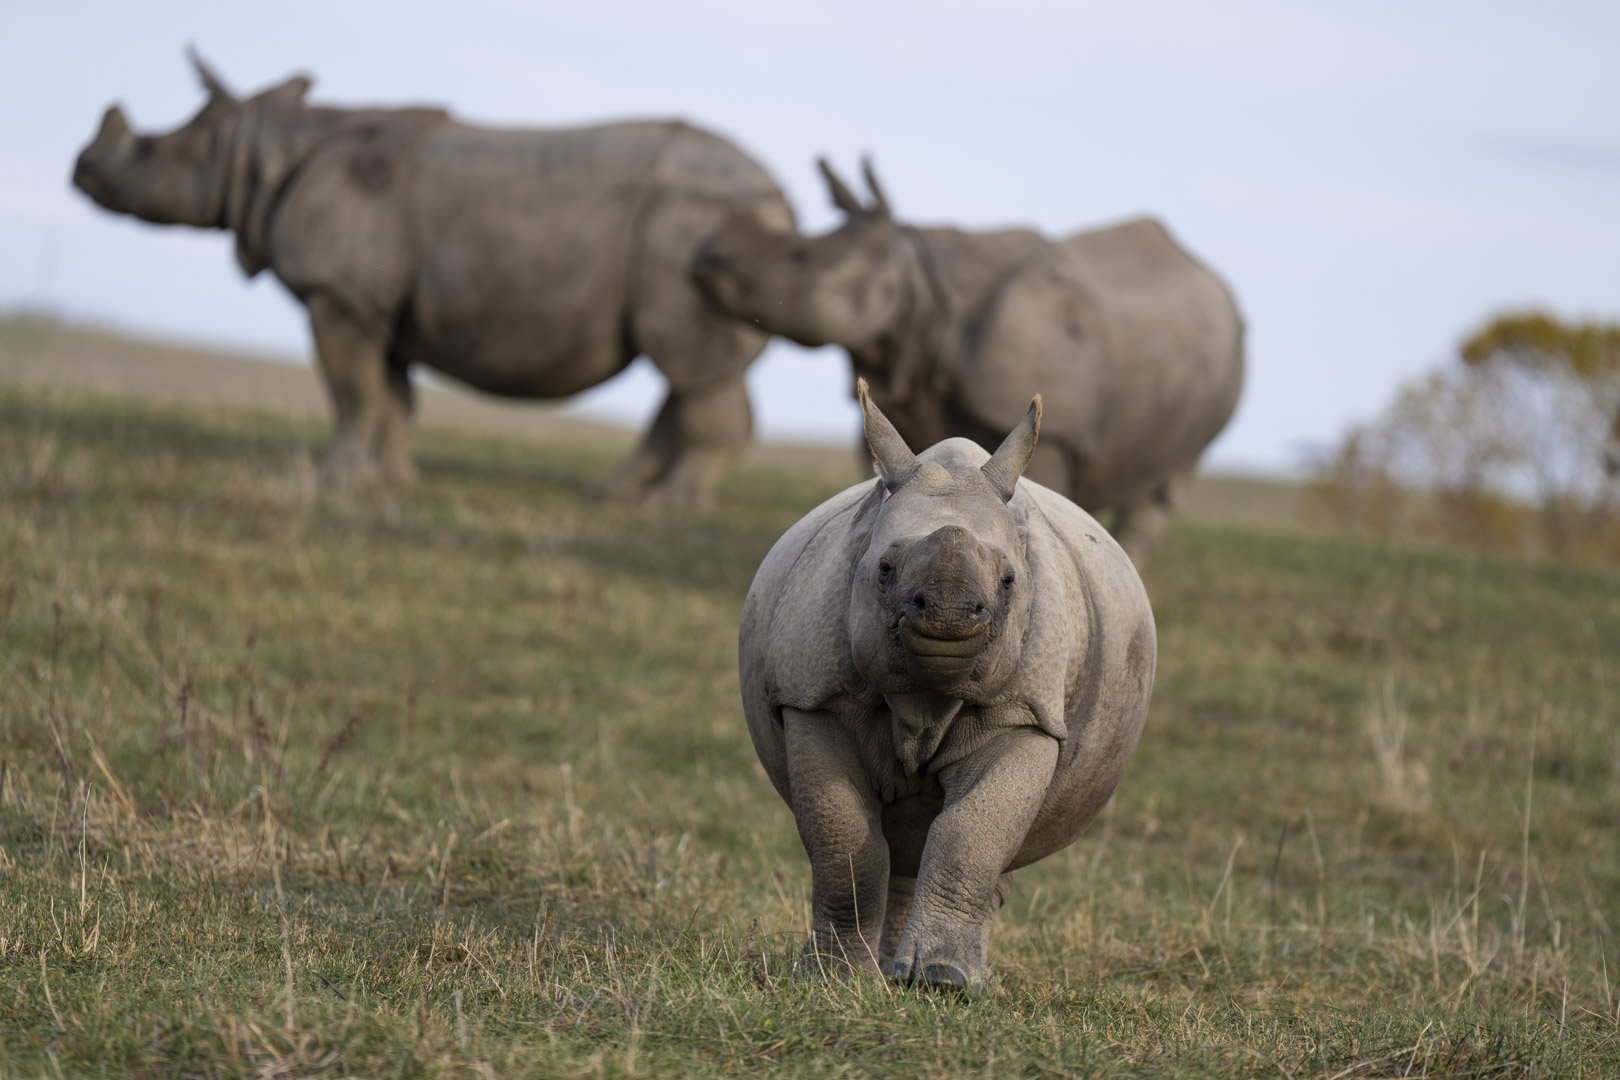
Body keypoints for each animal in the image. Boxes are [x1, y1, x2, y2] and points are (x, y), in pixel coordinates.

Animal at [76, 52, 797, 505]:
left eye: (149, 150)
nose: (80, 169)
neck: (255, 150)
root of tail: (782, 200)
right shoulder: (373, 305)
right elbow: (389, 396)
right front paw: (393, 482)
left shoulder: (337, 293)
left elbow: (352, 393)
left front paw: (337, 480)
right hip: (700, 234)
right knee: (690, 370)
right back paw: (613, 495)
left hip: (693, 223)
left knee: (689, 363)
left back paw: (670, 506)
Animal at [741, 382, 1159, 997]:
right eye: (884, 568)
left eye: (1009, 581)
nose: (949, 615)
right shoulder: (814, 699)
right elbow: (843, 843)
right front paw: (832, 979)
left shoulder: (1026, 712)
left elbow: (971, 834)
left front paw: (942, 981)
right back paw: (884, 969)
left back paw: (945, 975)